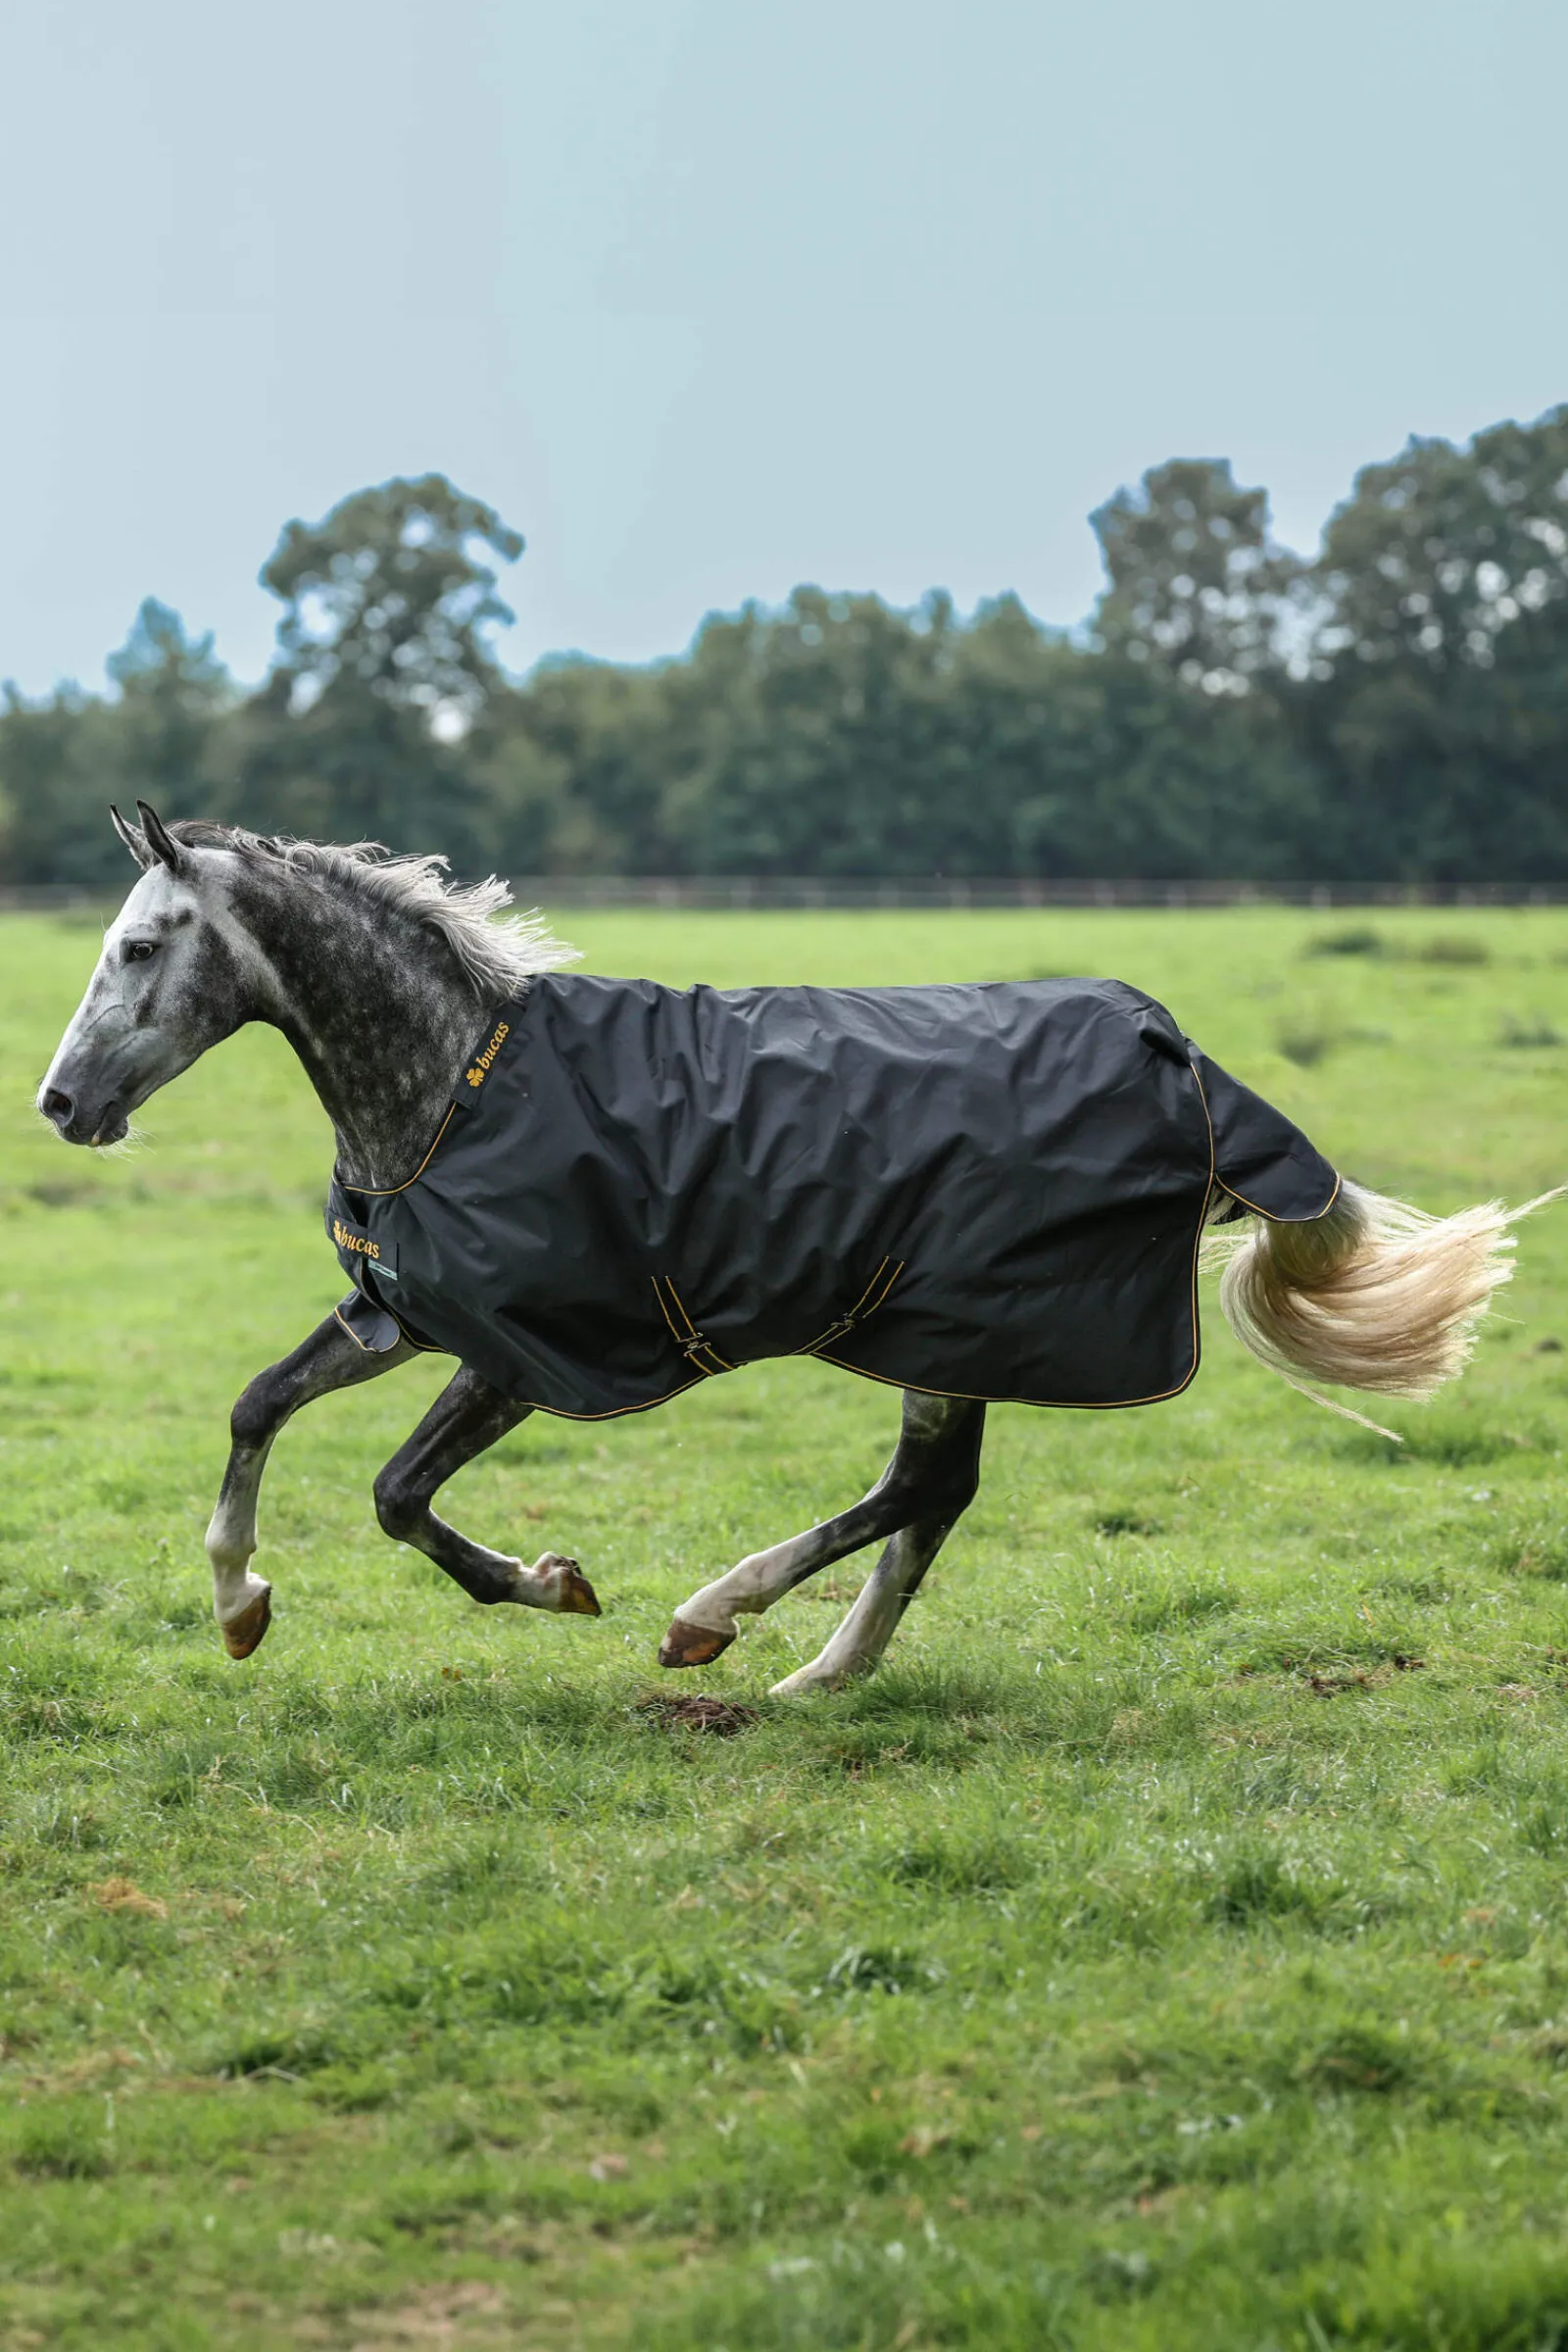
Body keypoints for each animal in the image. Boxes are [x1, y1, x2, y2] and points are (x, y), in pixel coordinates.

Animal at [38, 803, 1527, 1694]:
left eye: (141, 945)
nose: (60, 1104)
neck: (456, 1083)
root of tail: (1191, 1066)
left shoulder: (526, 1350)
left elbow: (400, 1495)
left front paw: (552, 1584)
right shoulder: (405, 1313)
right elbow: (255, 1407)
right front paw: (239, 1603)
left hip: (948, 1322)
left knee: (921, 1490)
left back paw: (717, 1616)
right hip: (950, 1332)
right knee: (936, 1499)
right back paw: (826, 1671)